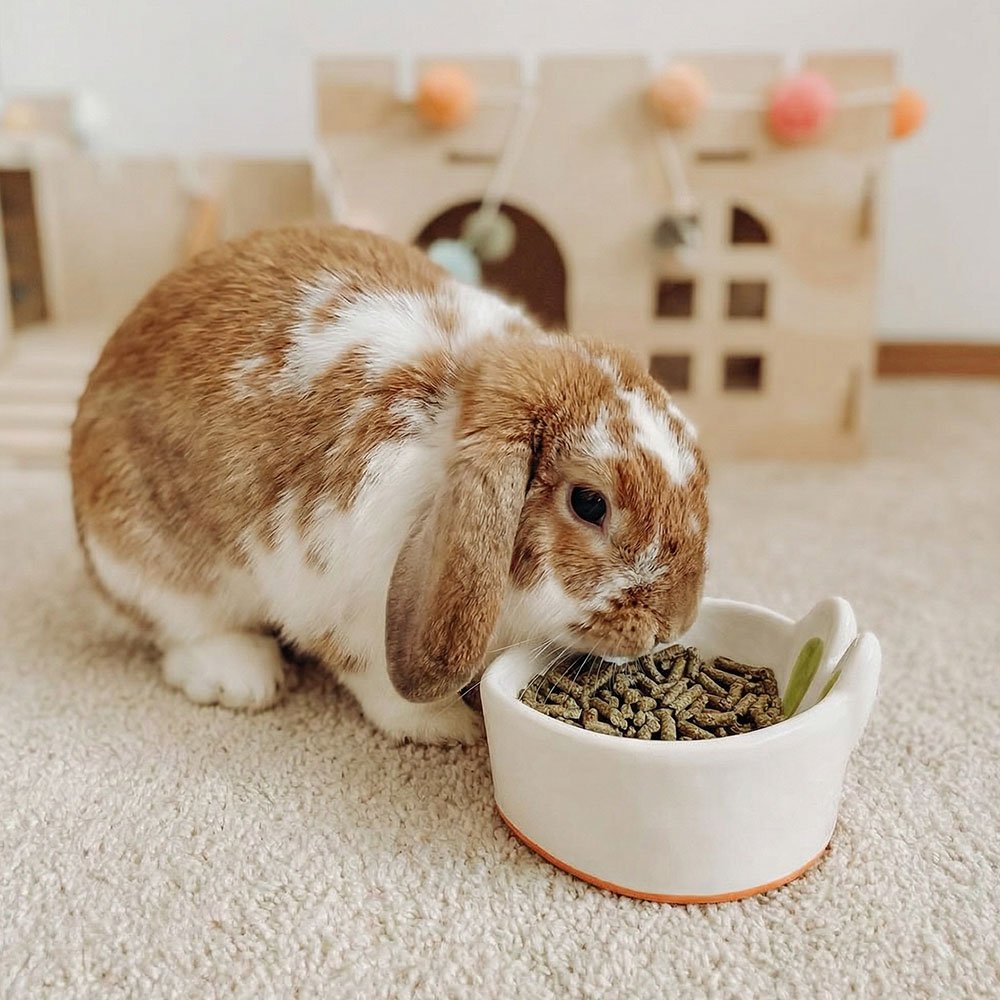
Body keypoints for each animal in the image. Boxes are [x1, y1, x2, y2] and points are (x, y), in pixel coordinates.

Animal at [70, 224, 709, 745]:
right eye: (589, 503)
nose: (673, 624)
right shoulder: (343, 603)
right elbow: (379, 681)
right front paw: (450, 727)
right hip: (149, 562)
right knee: (179, 629)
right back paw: (242, 677)